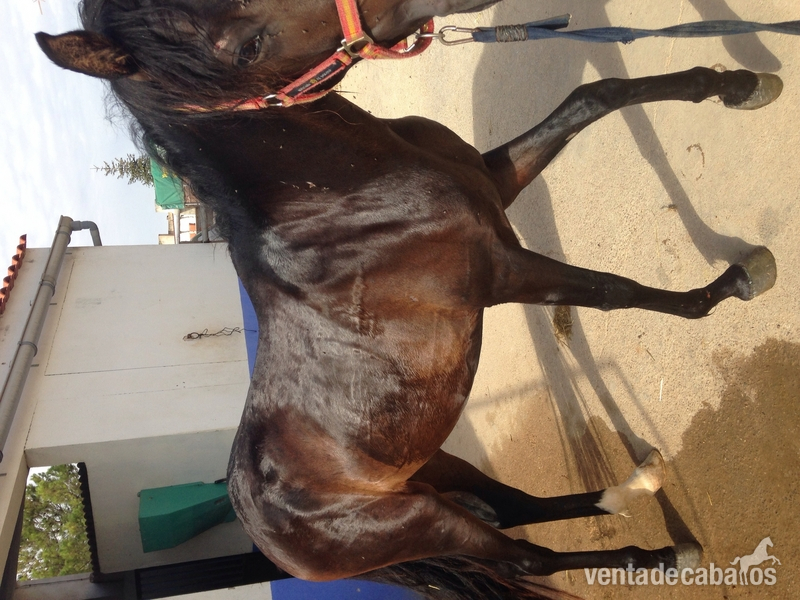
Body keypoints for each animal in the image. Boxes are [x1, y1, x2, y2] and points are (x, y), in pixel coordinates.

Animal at [36, 0, 782, 596]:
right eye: (243, 49)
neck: (339, 200)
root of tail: (264, 532)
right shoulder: (500, 272)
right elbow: (612, 291)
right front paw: (734, 282)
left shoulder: (494, 179)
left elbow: (596, 95)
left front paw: (742, 86)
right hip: (420, 518)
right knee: (524, 559)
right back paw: (661, 555)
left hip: (434, 469)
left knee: (515, 508)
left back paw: (639, 487)